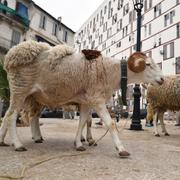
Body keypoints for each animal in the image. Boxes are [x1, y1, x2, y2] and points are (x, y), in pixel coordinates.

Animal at [0, 40, 164, 157]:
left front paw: (79, 144)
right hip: (20, 89)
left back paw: (5, 141)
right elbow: (110, 124)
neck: (111, 72)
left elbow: (83, 121)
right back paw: (18, 145)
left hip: (29, 95)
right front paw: (121, 149)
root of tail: (10, 56)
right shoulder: (96, 99)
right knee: (11, 116)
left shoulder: (86, 101)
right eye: (148, 64)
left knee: (16, 115)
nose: (162, 79)